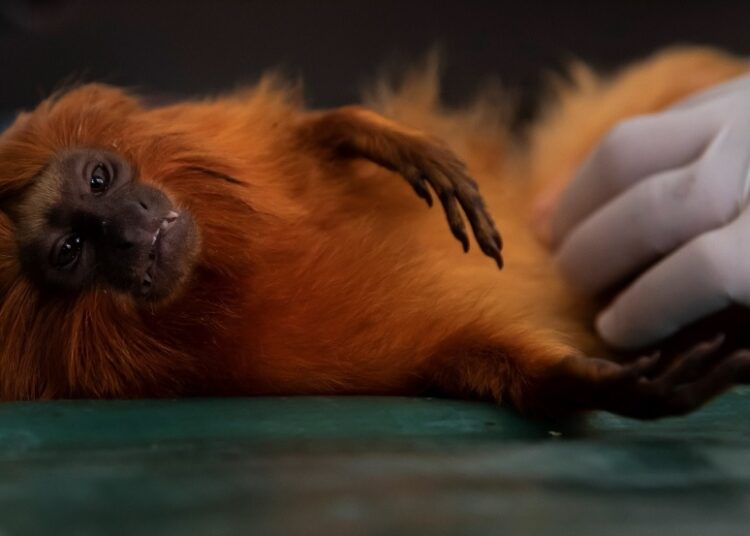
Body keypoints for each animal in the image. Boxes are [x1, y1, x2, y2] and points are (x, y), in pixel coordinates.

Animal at [0, 46, 748, 419]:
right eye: (71, 250)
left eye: (100, 180)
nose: (129, 230)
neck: (233, 269)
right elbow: (474, 354)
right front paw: (592, 385)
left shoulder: (254, 154)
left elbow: (315, 142)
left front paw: (374, 134)